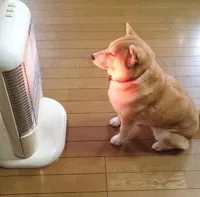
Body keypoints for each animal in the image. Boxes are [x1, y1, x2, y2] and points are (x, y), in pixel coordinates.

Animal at [91, 22, 200, 151]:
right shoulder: (123, 110)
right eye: (108, 48)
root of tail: (195, 128)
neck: (134, 78)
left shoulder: (128, 119)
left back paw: (159, 146)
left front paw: (118, 140)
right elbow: (119, 115)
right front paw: (117, 121)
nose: (91, 56)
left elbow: (123, 131)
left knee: (182, 145)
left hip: (164, 133)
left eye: (112, 54)